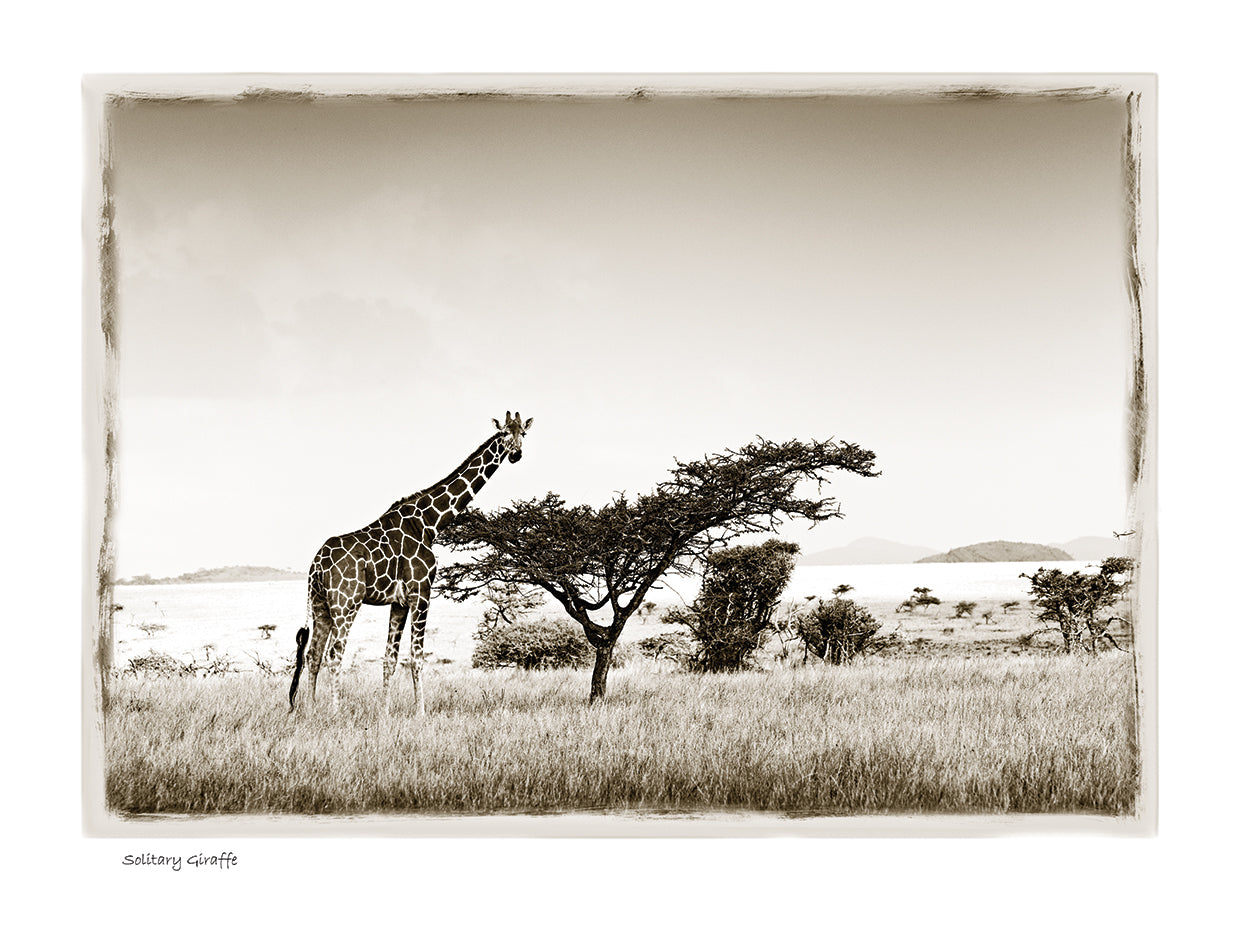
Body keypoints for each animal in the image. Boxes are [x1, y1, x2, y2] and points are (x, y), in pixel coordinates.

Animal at [289, 412, 533, 714]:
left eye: (524, 432)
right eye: (504, 434)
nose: (517, 454)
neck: (429, 523)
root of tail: (317, 564)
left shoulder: (399, 601)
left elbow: (389, 659)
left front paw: (384, 712)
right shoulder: (422, 592)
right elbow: (416, 656)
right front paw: (421, 712)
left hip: (320, 603)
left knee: (314, 653)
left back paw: (312, 710)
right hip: (346, 602)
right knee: (335, 653)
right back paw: (335, 712)